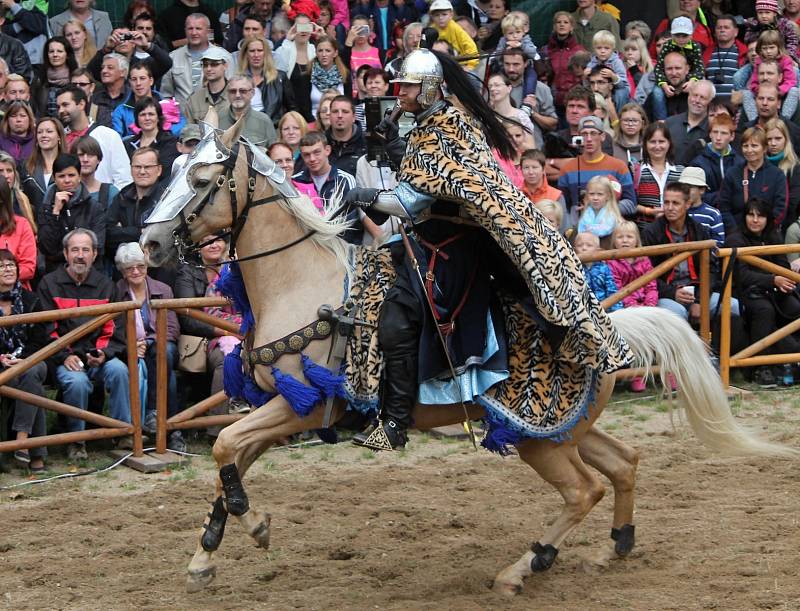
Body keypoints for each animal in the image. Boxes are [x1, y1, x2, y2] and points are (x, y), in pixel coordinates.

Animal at [142, 119, 792, 596]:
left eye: (201, 178)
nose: (147, 242)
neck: (302, 282)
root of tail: (610, 330)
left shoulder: (301, 405)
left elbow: (226, 448)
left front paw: (254, 525)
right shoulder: (279, 407)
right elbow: (230, 460)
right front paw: (206, 554)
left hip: (539, 438)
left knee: (584, 490)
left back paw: (524, 566)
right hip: (565, 430)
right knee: (624, 463)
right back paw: (616, 545)